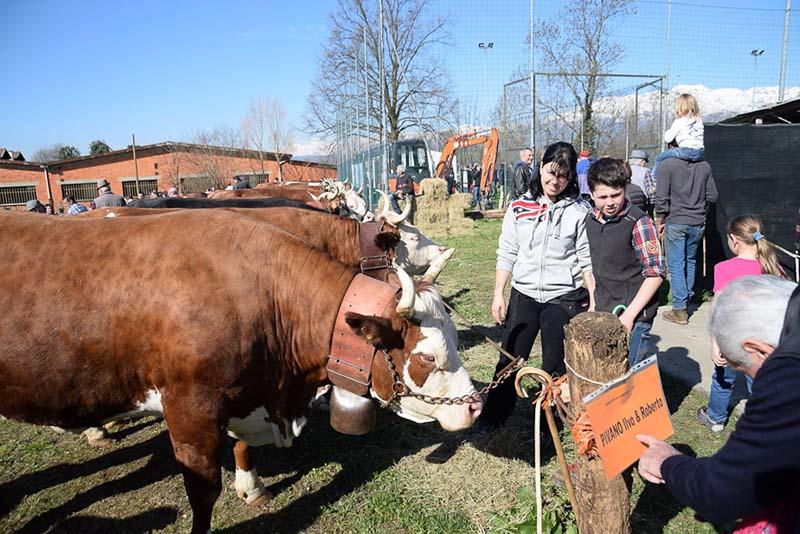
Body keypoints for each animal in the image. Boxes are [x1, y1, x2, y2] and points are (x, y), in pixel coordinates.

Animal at [0, 211, 482, 532]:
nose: (475, 406)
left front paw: (251, 486)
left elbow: (242, 447)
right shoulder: (189, 408)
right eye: (427, 357)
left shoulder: (242, 394)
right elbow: (202, 492)